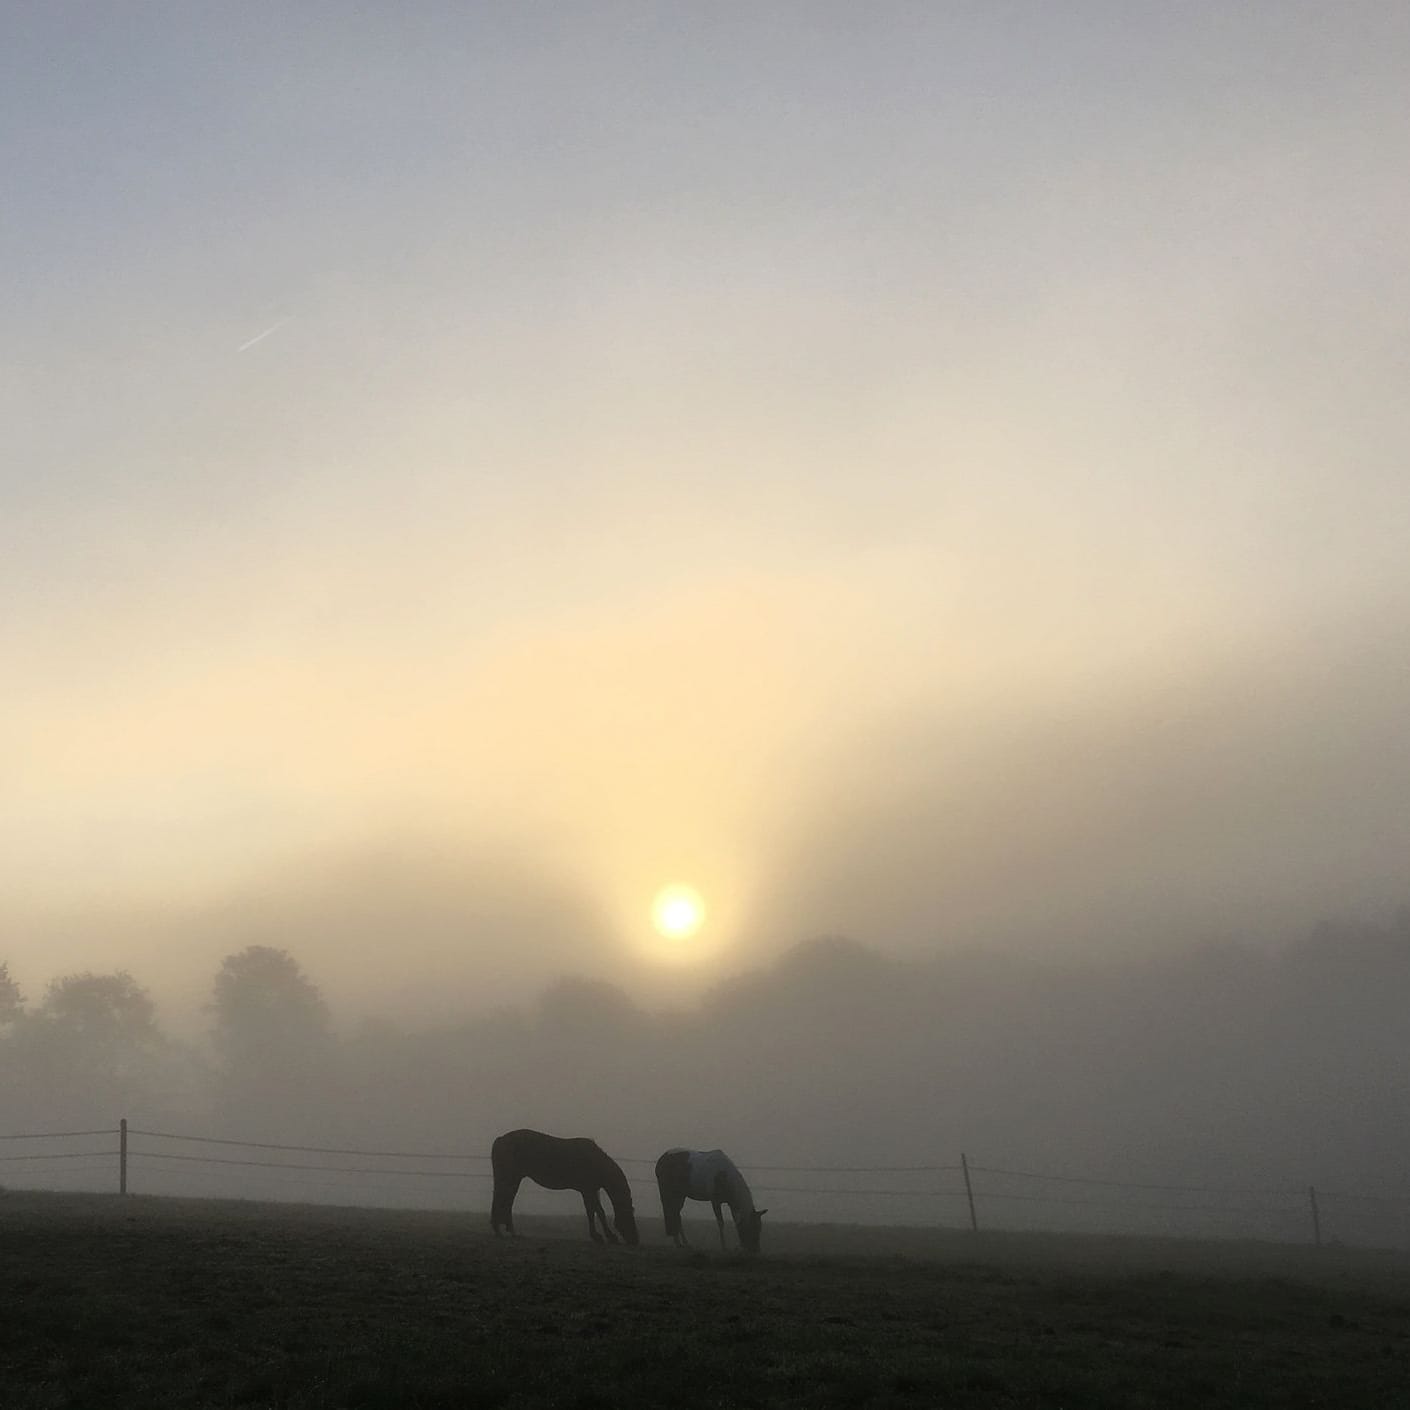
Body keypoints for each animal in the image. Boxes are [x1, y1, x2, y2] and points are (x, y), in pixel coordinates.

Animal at [487, 1122, 637, 1246]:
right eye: (630, 1216)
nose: (635, 1240)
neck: (596, 1162)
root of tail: (500, 1139)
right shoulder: (588, 1190)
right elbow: (599, 1212)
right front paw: (608, 1237)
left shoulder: (588, 1191)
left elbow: (591, 1211)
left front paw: (597, 1236)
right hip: (509, 1178)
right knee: (503, 1199)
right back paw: (501, 1230)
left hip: (513, 1179)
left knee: (505, 1200)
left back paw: (507, 1231)